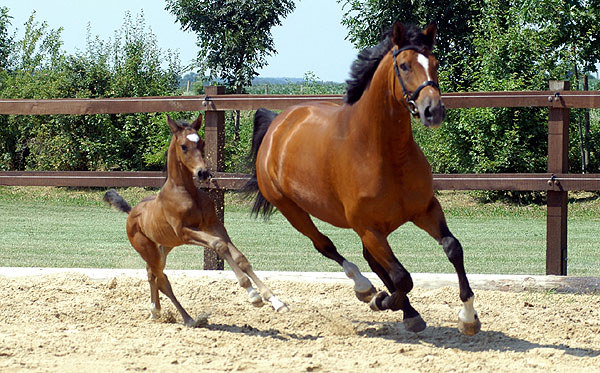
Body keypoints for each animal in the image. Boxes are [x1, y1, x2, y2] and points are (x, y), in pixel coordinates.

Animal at [104, 114, 288, 326]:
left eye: (202, 143)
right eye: (184, 146)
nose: (203, 173)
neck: (186, 192)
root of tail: (131, 211)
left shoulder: (213, 225)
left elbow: (239, 257)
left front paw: (275, 300)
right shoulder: (185, 232)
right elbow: (219, 246)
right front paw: (253, 294)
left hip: (163, 248)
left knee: (153, 275)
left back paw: (156, 311)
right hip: (148, 249)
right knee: (162, 279)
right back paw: (186, 318)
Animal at [246, 22, 480, 334]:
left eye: (435, 63)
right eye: (404, 66)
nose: (434, 111)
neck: (386, 154)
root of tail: (277, 124)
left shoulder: (425, 210)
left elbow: (452, 248)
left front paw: (468, 317)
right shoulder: (369, 228)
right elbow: (403, 277)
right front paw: (381, 301)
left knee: (374, 261)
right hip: (292, 210)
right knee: (326, 246)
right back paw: (366, 288)